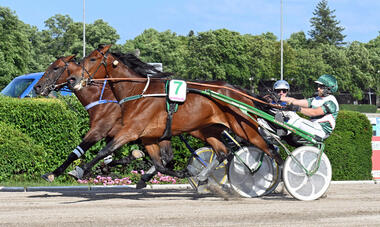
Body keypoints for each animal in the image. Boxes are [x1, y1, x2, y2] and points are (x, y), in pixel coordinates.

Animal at [67, 44, 280, 184]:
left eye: (92, 59)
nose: (73, 79)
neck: (138, 92)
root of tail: (239, 91)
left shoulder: (131, 131)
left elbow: (105, 150)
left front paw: (79, 170)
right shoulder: (149, 137)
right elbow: (161, 164)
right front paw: (185, 173)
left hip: (245, 128)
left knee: (271, 150)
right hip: (210, 129)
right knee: (223, 152)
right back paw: (203, 175)